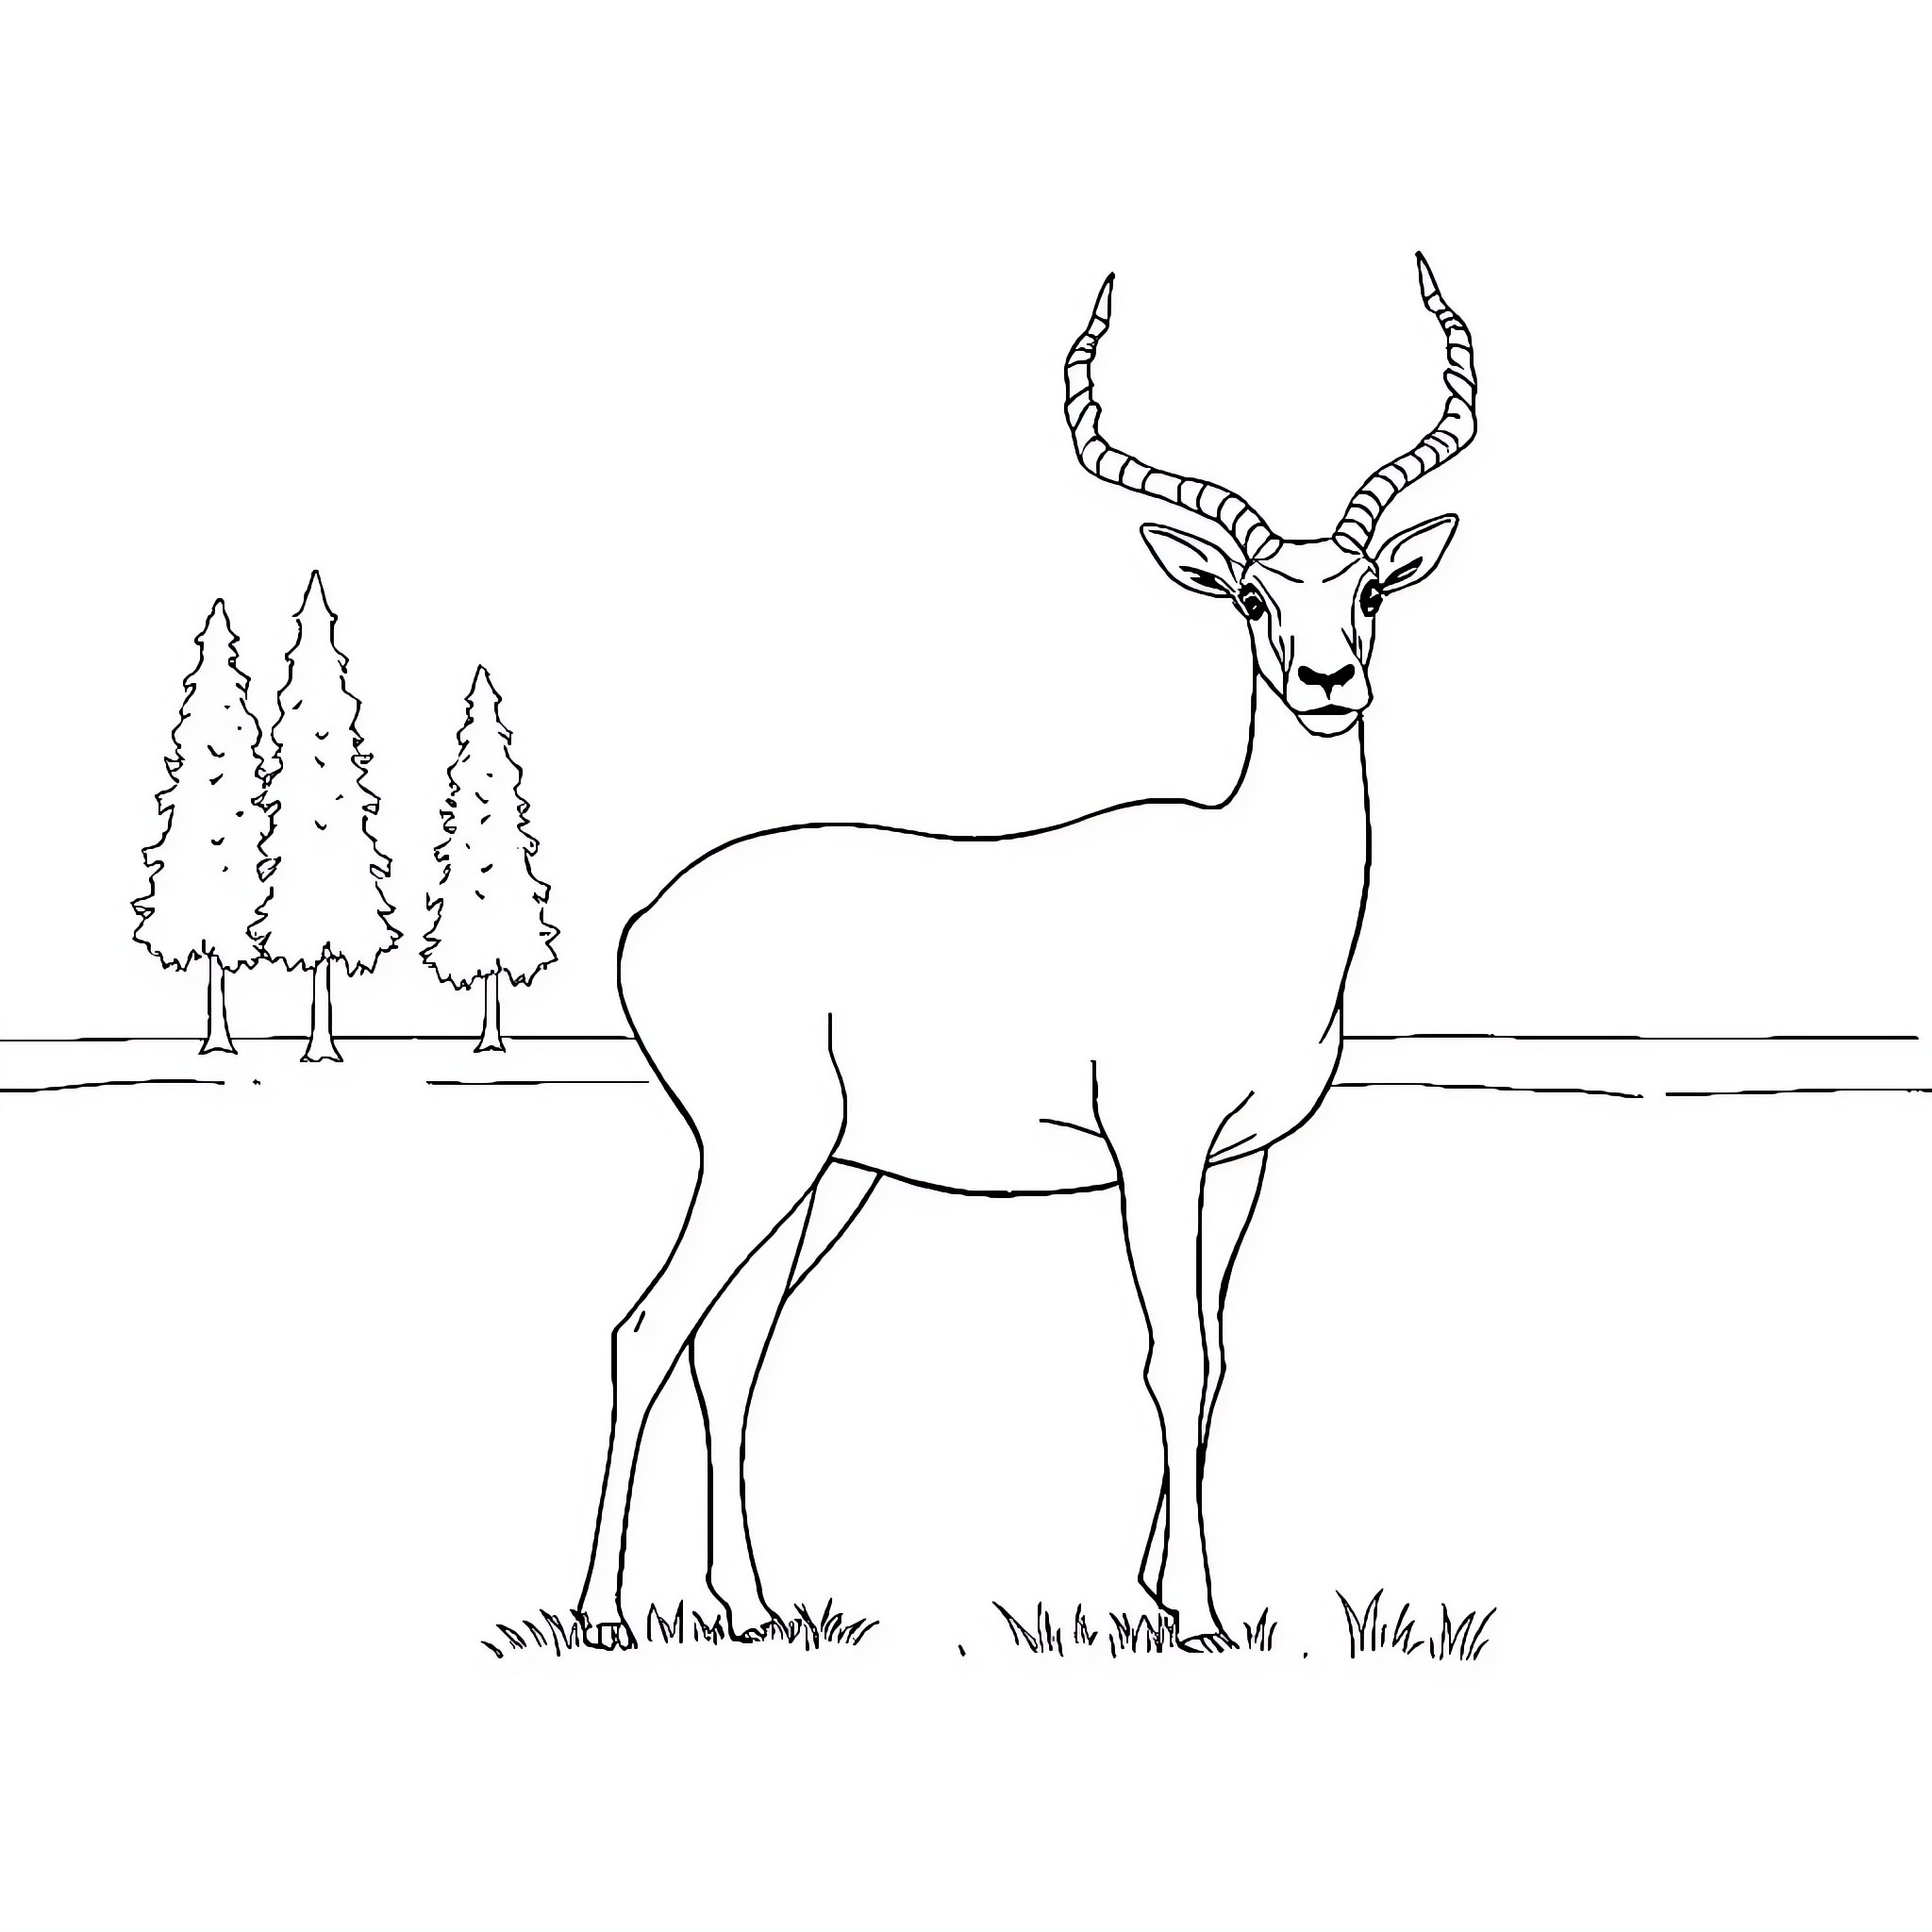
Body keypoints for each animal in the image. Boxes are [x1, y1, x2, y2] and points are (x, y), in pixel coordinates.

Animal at [579, 257, 1478, 1651]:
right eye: (1254, 597)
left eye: (1370, 590)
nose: (1329, 681)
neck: (1250, 900)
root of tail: (643, 924)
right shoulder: (1153, 1148)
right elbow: (1169, 1353)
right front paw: (1198, 1614)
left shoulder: (1245, 1160)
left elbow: (1217, 1355)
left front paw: (1158, 1585)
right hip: (755, 1148)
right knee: (644, 1327)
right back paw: (607, 1612)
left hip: (829, 1171)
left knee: (730, 1344)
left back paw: (755, 1604)